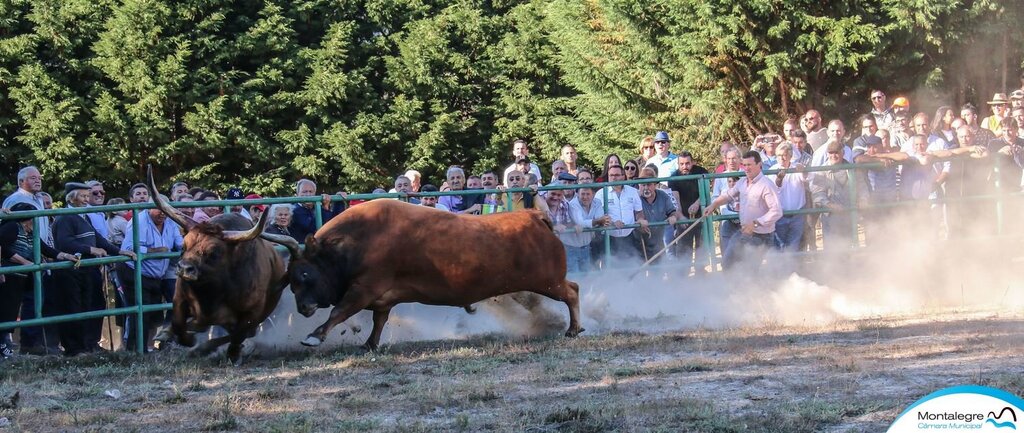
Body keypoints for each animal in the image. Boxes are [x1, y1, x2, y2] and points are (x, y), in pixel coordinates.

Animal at [145, 167, 288, 364]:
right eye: (183, 246)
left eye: (213, 252)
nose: (184, 268)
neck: (212, 290)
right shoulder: (180, 298)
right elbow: (179, 325)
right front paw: (181, 338)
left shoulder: (253, 313)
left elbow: (239, 335)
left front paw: (232, 354)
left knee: (241, 333)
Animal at [260, 201, 585, 350]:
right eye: (289, 279)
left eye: (304, 273)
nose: (303, 308)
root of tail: (533, 216)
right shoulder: (382, 299)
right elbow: (379, 321)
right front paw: (370, 344)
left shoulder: (363, 289)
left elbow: (339, 312)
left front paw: (314, 336)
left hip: (547, 281)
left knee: (572, 291)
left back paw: (573, 329)